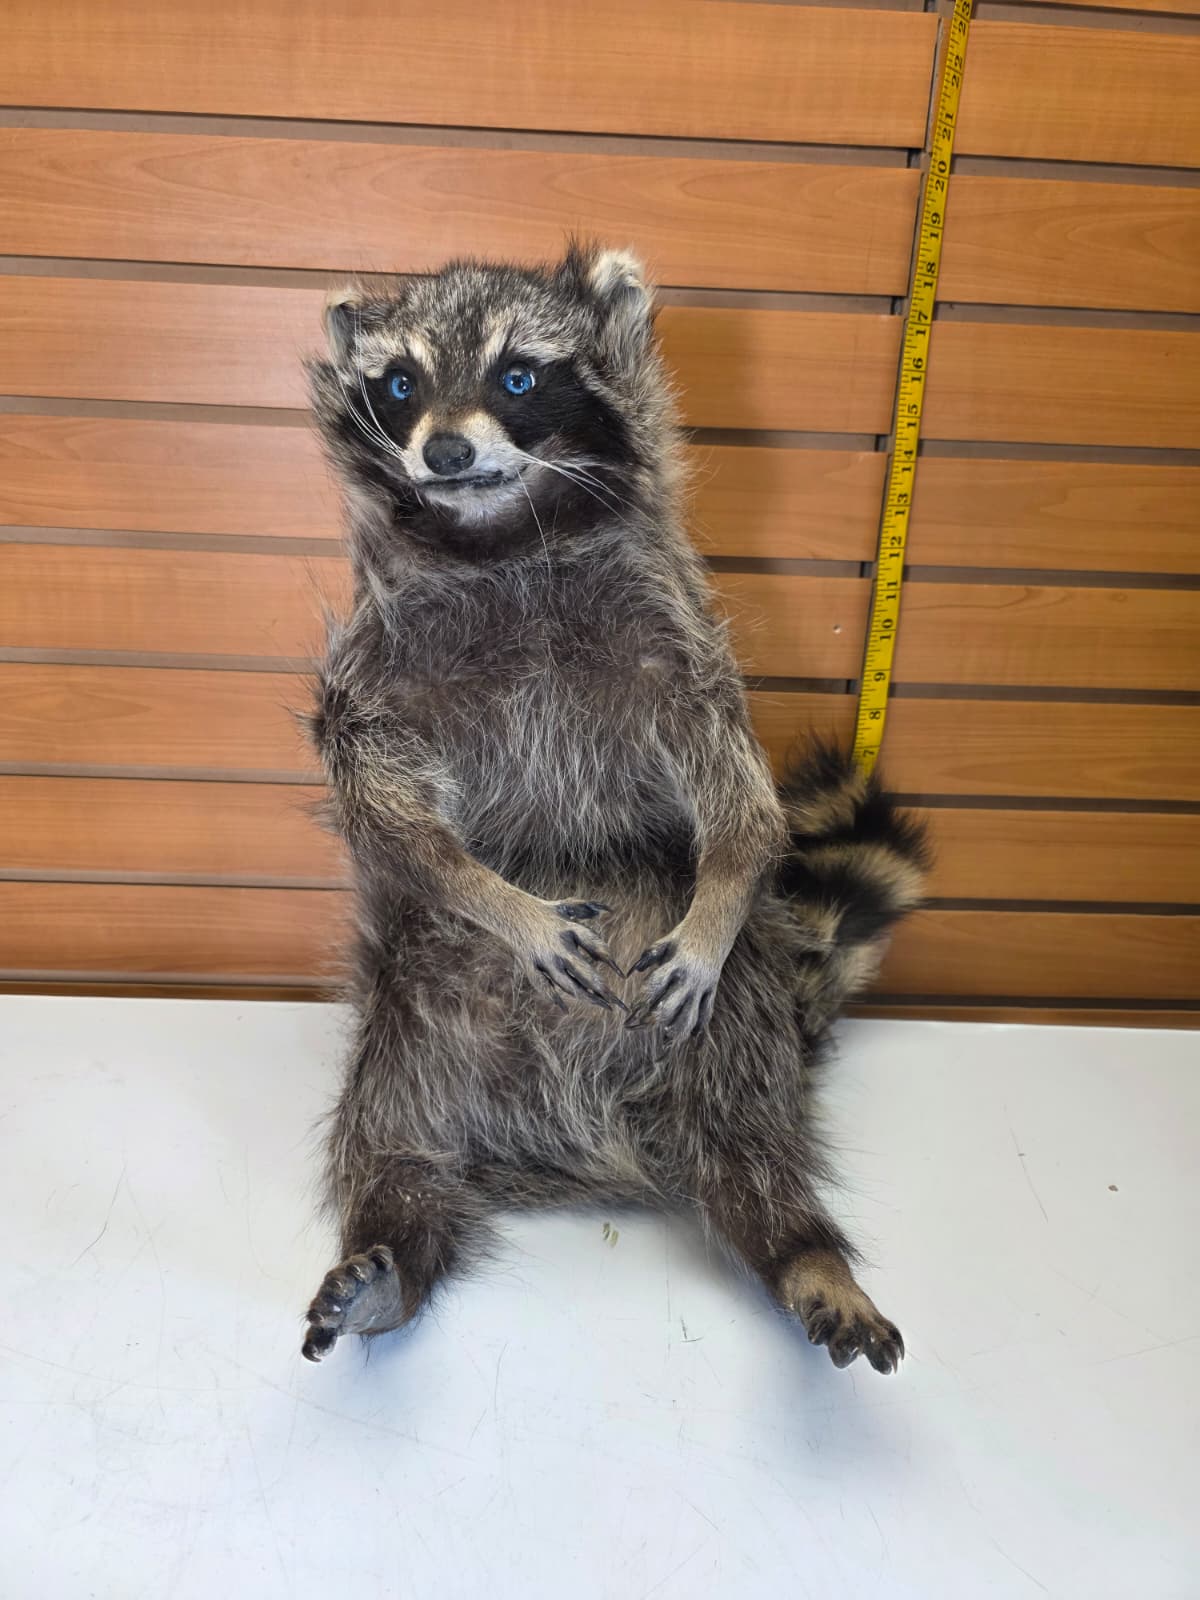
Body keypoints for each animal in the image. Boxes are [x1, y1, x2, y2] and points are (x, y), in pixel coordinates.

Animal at [300, 244, 927, 1375]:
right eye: (402, 384)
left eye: (516, 376)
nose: (445, 450)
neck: (503, 540)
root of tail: (579, 1154)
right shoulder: (373, 671)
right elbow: (383, 802)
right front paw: (489, 889)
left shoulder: (677, 637)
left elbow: (741, 790)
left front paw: (726, 882)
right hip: (413, 1014)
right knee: (393, 1147)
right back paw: (392, 1256)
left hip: (735, 1024)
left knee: (752, 1147)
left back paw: (804, 1250)